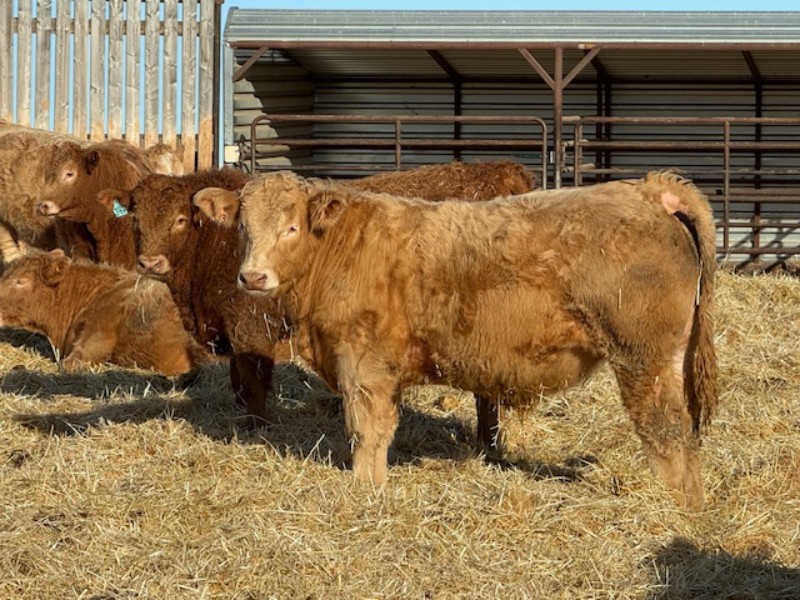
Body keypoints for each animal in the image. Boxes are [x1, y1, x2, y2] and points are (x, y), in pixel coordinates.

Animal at [129, 168, 292, 423]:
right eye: (135, 218)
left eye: (180, 219)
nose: (150, 263)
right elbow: (237, 374)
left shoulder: (250, 325)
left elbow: (253, 379)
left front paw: (255, 421)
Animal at [226, 170, 718, 509]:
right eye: (244, 227)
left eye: (291, 227)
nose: (252, 276)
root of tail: (648, 189)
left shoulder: (364, 366)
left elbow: (367, 433)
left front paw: (365, 492)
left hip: (644, 360)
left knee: (666, 431)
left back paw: (673, 507)